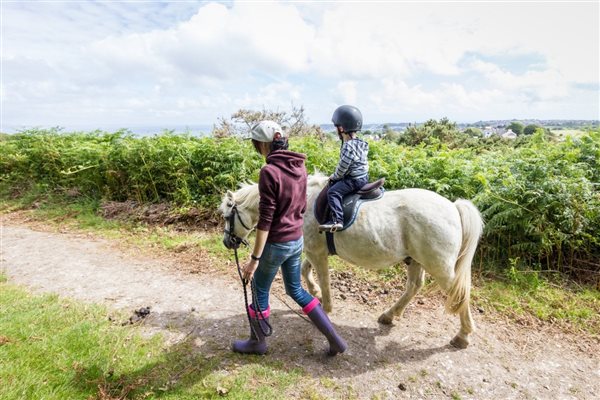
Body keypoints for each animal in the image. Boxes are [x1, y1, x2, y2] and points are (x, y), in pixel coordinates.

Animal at [219, 173, 482, 348]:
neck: (300, 203)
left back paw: (463, 336)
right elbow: (305, 270)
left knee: (459, 294)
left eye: (226, 215)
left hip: (440, 267)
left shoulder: (317, 252)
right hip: (415, 260)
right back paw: (389, 315)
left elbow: (323, 279)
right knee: (414, 286)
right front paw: (314, 292)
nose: (227, 242)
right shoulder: (314, 250)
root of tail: (453, 207)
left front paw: (325, 307)